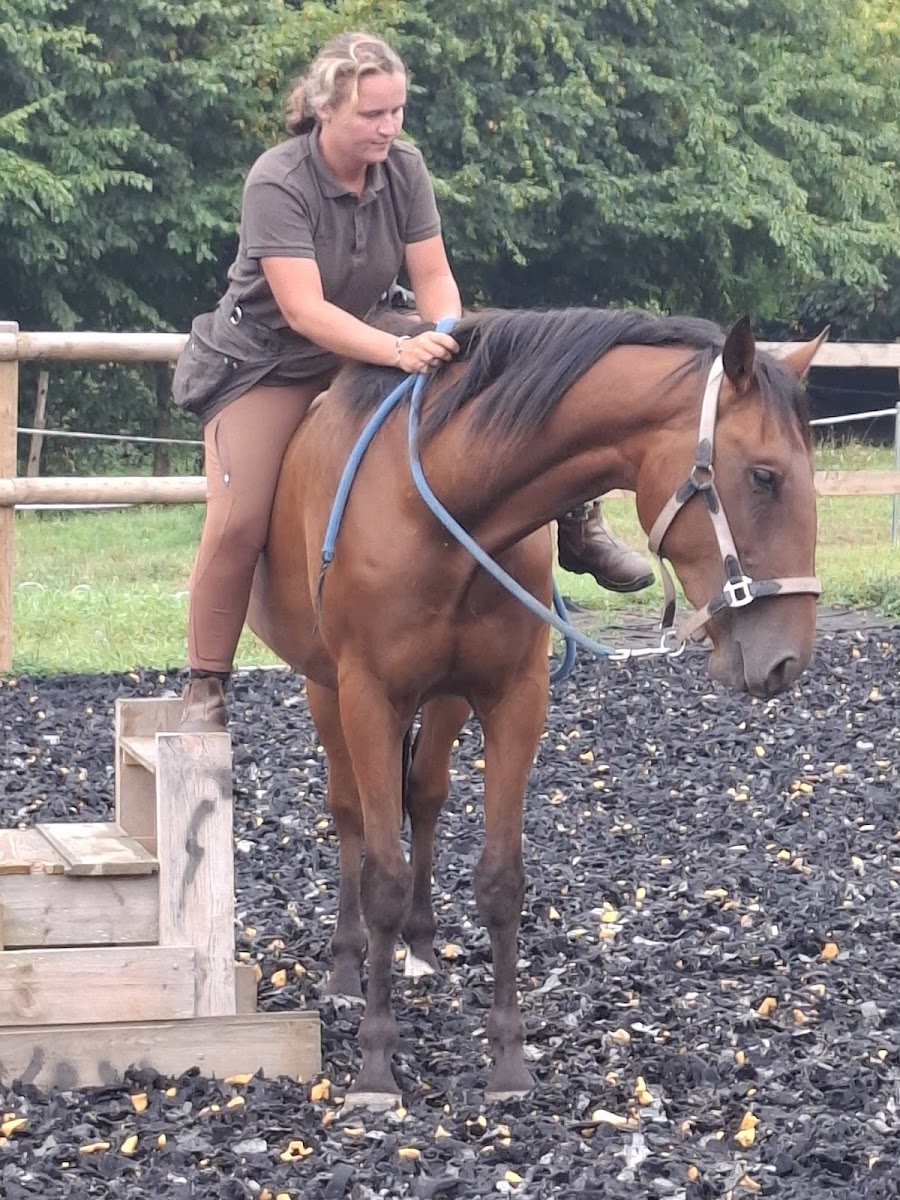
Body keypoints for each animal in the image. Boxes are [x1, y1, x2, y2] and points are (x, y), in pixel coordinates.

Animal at [246, 307, 824, 1108]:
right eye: (765, 476)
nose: (787, 659)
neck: (444, 506)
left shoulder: (514, 697)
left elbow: (501, 880)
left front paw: (509, 1061)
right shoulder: (369, 696)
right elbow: (382, 874)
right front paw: (375, 1062)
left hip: (447, 699)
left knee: (424, 796)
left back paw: (420, 947)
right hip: (325, 690)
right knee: (352, 816)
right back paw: (345, 965)